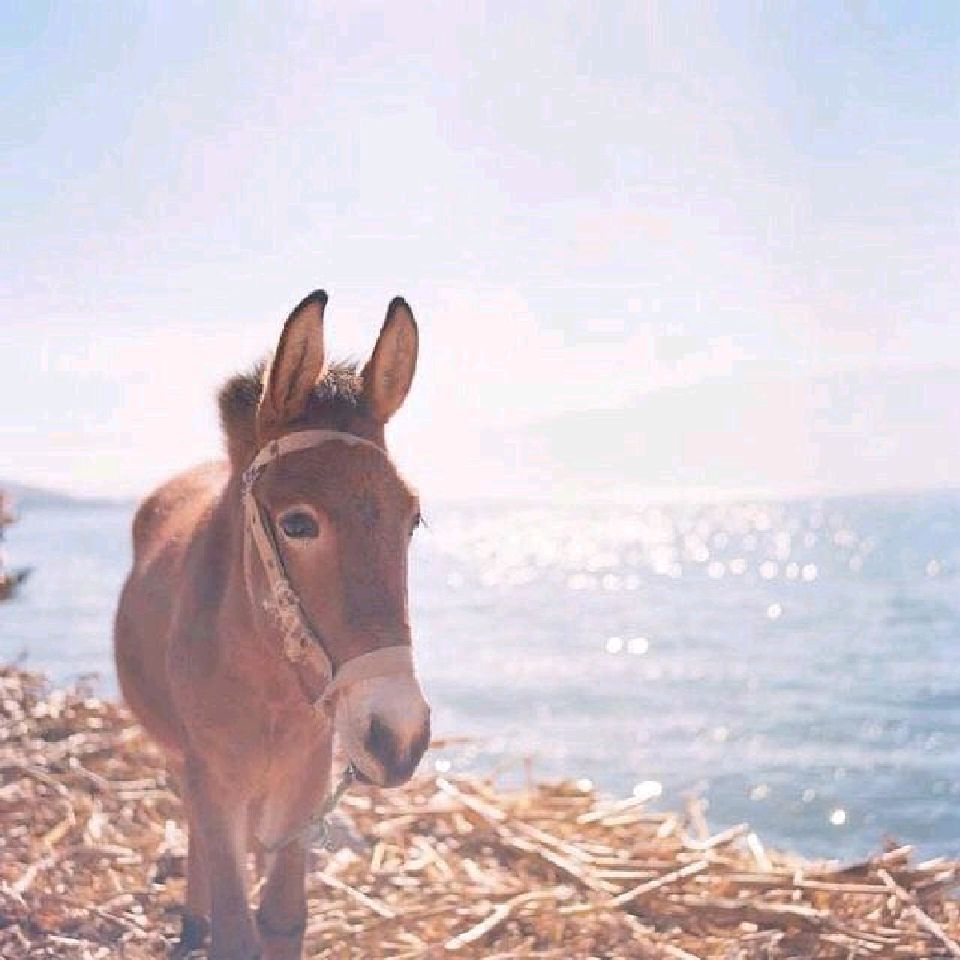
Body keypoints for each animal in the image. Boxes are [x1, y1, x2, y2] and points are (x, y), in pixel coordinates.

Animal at [114, 290, 431, 959]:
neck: (268, 680)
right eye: (298, 524)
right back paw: (192, 923)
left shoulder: (306, 780)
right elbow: (237, 928)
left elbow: (283, 918)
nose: (400, 736)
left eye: (412, 518)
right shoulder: (213, 779)